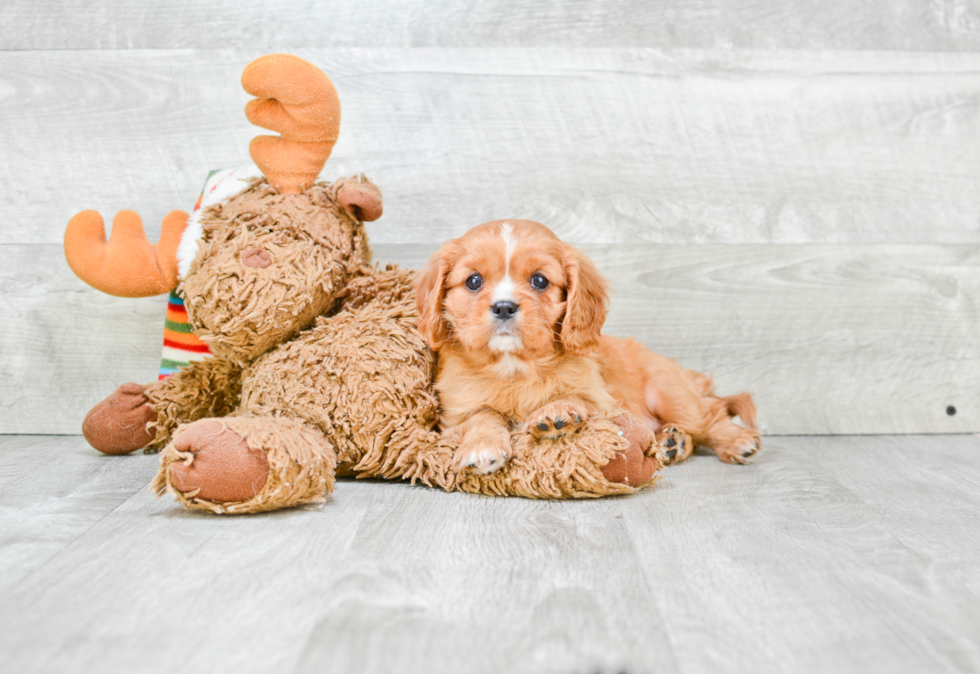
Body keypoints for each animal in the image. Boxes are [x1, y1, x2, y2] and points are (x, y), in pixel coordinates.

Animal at [412, 220, 756, 472]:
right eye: (473, 281)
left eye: (539, 280)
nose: (504, 307)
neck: (514, 365)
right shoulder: (453, 418)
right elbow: (482, 415)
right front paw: (482, 445)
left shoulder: (605, 402)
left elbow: (577, 396)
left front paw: (557, 410)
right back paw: (673, 443)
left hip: (670, 392)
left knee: (709, 416)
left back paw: (734, 441)